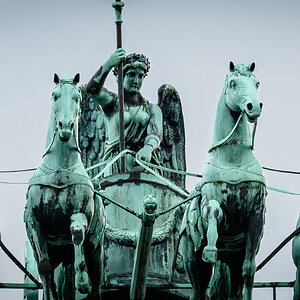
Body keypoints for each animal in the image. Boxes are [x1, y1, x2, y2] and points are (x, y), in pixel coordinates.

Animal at [24, 73, 106, 300]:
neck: (60, 168)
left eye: (78, 98)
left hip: (95, 249)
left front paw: (82, 282)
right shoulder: (35, 222)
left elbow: (76, 233)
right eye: (55, 96)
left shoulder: (79, 213)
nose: (65, 126)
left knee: (96, 280)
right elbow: (44, 268)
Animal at [182, 62, 266, 298]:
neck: (233, 160)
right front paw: (211, 247)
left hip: (232, 259)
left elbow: (249, 270)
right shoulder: (214, 205)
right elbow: (213, 210)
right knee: (199, 289)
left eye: (257, 83)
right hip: (192, 261)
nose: (254, 107)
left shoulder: (255, 216)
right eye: (233, 83)